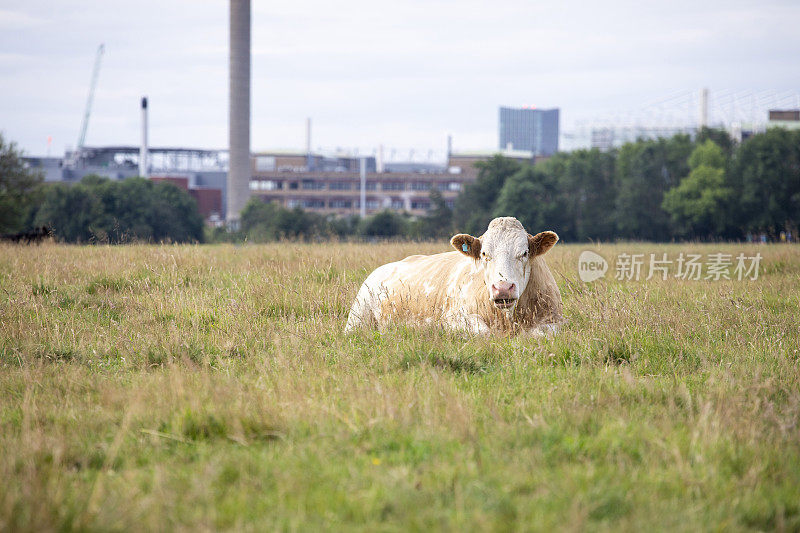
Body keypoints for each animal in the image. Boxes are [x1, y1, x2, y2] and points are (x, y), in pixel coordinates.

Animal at [346, 215, 564, 332]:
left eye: (524, 253)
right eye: (484, 254)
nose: (503, 288)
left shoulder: (555, 322)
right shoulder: (454, 319)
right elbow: (483, 332)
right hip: (357, 321)